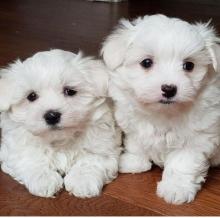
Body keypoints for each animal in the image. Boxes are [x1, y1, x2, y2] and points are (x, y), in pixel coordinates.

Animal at [0, 49, 120, 198]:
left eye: (70, 91)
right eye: (31, 96)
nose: (52, 116)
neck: (60, 140)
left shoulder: (103, 146)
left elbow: (92, 160)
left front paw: (82, 181)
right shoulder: (15, 149)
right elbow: (30, 159)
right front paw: (44, 179)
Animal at [101, 14, 220, 204]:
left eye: (189, 66)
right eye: (146, 63)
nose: (169, 89)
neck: (163, 113)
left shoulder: (196, 139)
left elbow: (182, 163)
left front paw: (176, 188)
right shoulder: (134, 125)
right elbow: (136, 143)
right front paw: (134, 161)